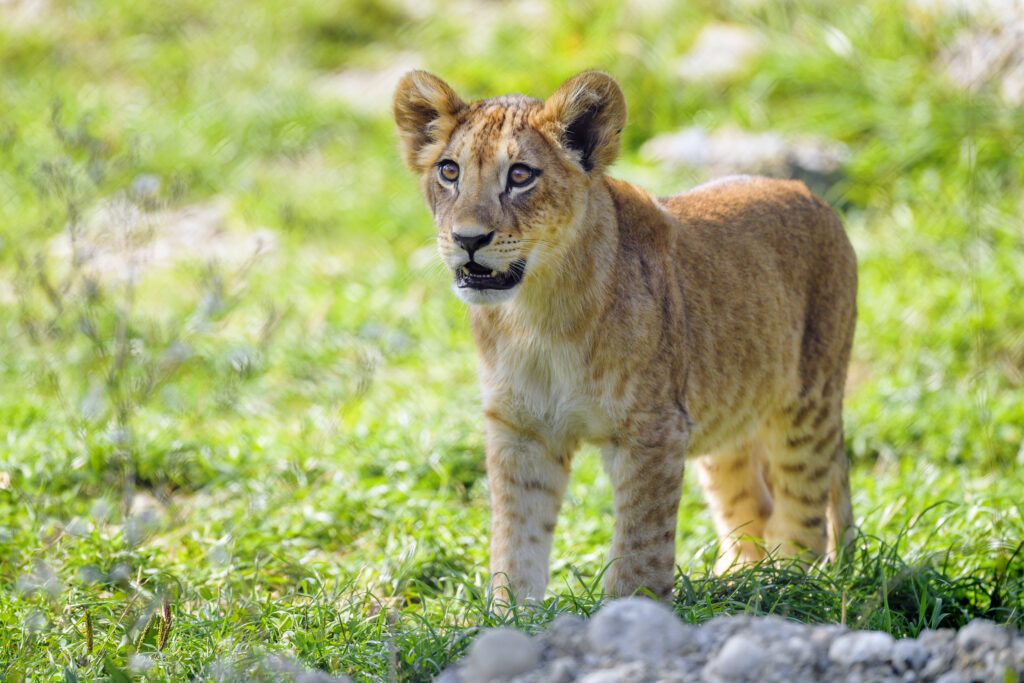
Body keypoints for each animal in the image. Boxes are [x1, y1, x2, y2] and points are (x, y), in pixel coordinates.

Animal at [393, 70, 857, 605]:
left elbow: (640, 544)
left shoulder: (653, 431)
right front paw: (511, 612)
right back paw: (738, 581)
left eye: (521, 176)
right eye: (449, 171)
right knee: (750, 503)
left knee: (805, 510)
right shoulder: (521, 430)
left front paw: (630, 612)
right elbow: (517, 536)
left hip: (809, 400)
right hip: (729, 415)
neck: (537, 314)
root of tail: (812, 195)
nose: (467, 239)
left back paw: (789, 583)